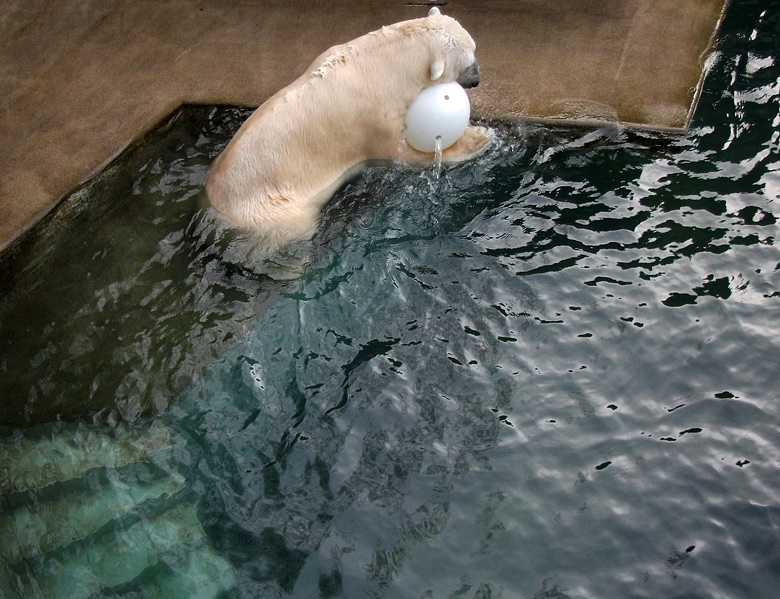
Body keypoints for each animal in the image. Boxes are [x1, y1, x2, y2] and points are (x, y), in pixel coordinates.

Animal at [206, 7, 488, 251]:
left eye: (476, 49)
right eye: (467, 63)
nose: (476, 79)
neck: (381, 62)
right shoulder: (374, 118)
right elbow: (402, 154)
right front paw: (479, 138)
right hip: (274, 212)